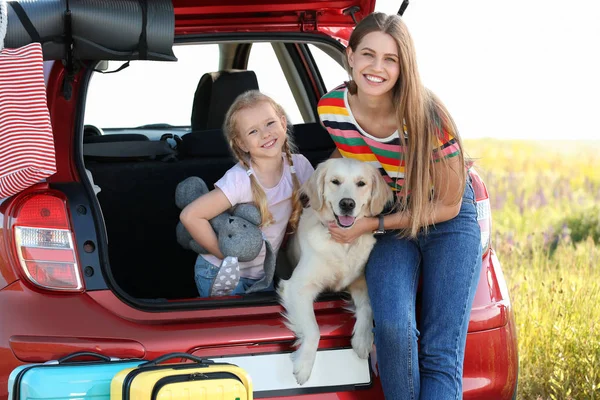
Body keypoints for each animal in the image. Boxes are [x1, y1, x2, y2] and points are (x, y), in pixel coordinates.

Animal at [276, 158, 394, 386]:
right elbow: (313, 329)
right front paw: (304, 365)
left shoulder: (361, 281)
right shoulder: (297, 287)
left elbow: (368, 306)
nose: (347, 204)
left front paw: (363, 339)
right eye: (335, 181)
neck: (342, 244)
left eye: (361, 183)